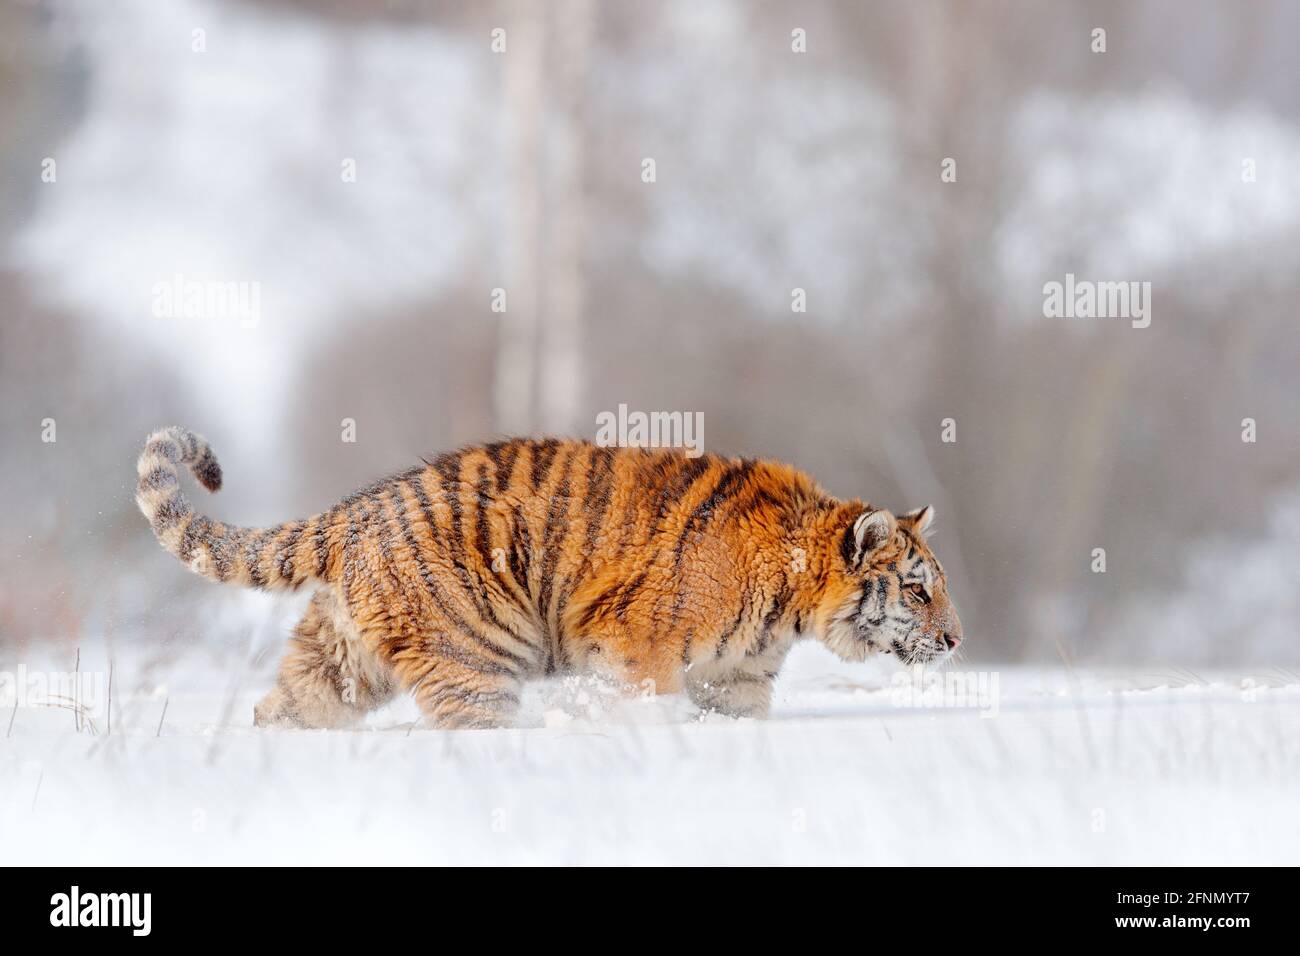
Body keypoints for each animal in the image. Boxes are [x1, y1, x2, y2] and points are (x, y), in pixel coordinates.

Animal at [136, 425, 963, 729]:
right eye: (917, 589)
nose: (957, 640)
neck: (792, 600)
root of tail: (356, 510)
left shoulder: (738, 679)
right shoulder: (635, 646)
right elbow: (644, 703)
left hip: (341, 661)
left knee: (281, 707)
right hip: (478, 659)